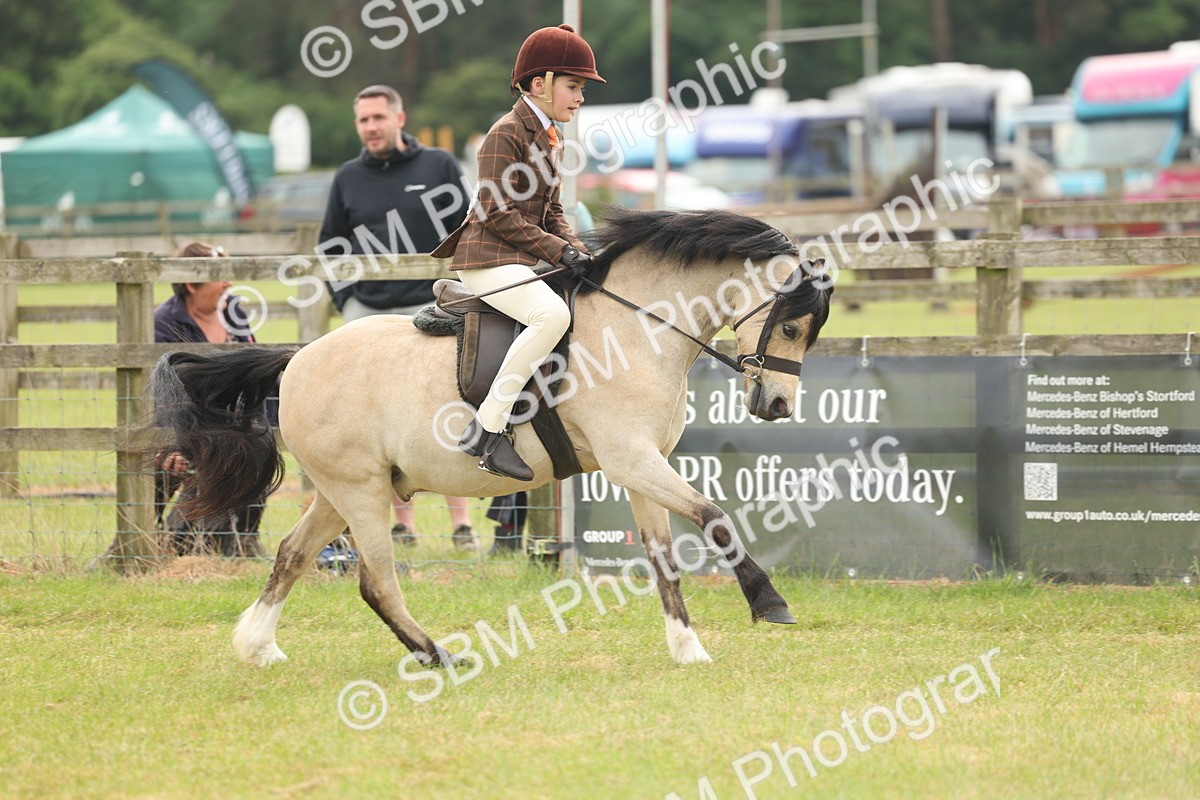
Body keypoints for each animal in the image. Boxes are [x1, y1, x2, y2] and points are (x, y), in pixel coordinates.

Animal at [150, 207, 832, 667]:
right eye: (792, 325)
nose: (776, 404)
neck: (640, 327)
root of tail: (296, 360)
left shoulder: (643, 467)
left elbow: (664, 557)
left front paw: (687, 647)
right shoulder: (631, 460)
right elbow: (715, 517)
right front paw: (770, 604)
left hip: (338, 491)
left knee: (293, 553)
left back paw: (258, 645)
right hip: (361, 492)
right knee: (376, 580)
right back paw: (438, 656)